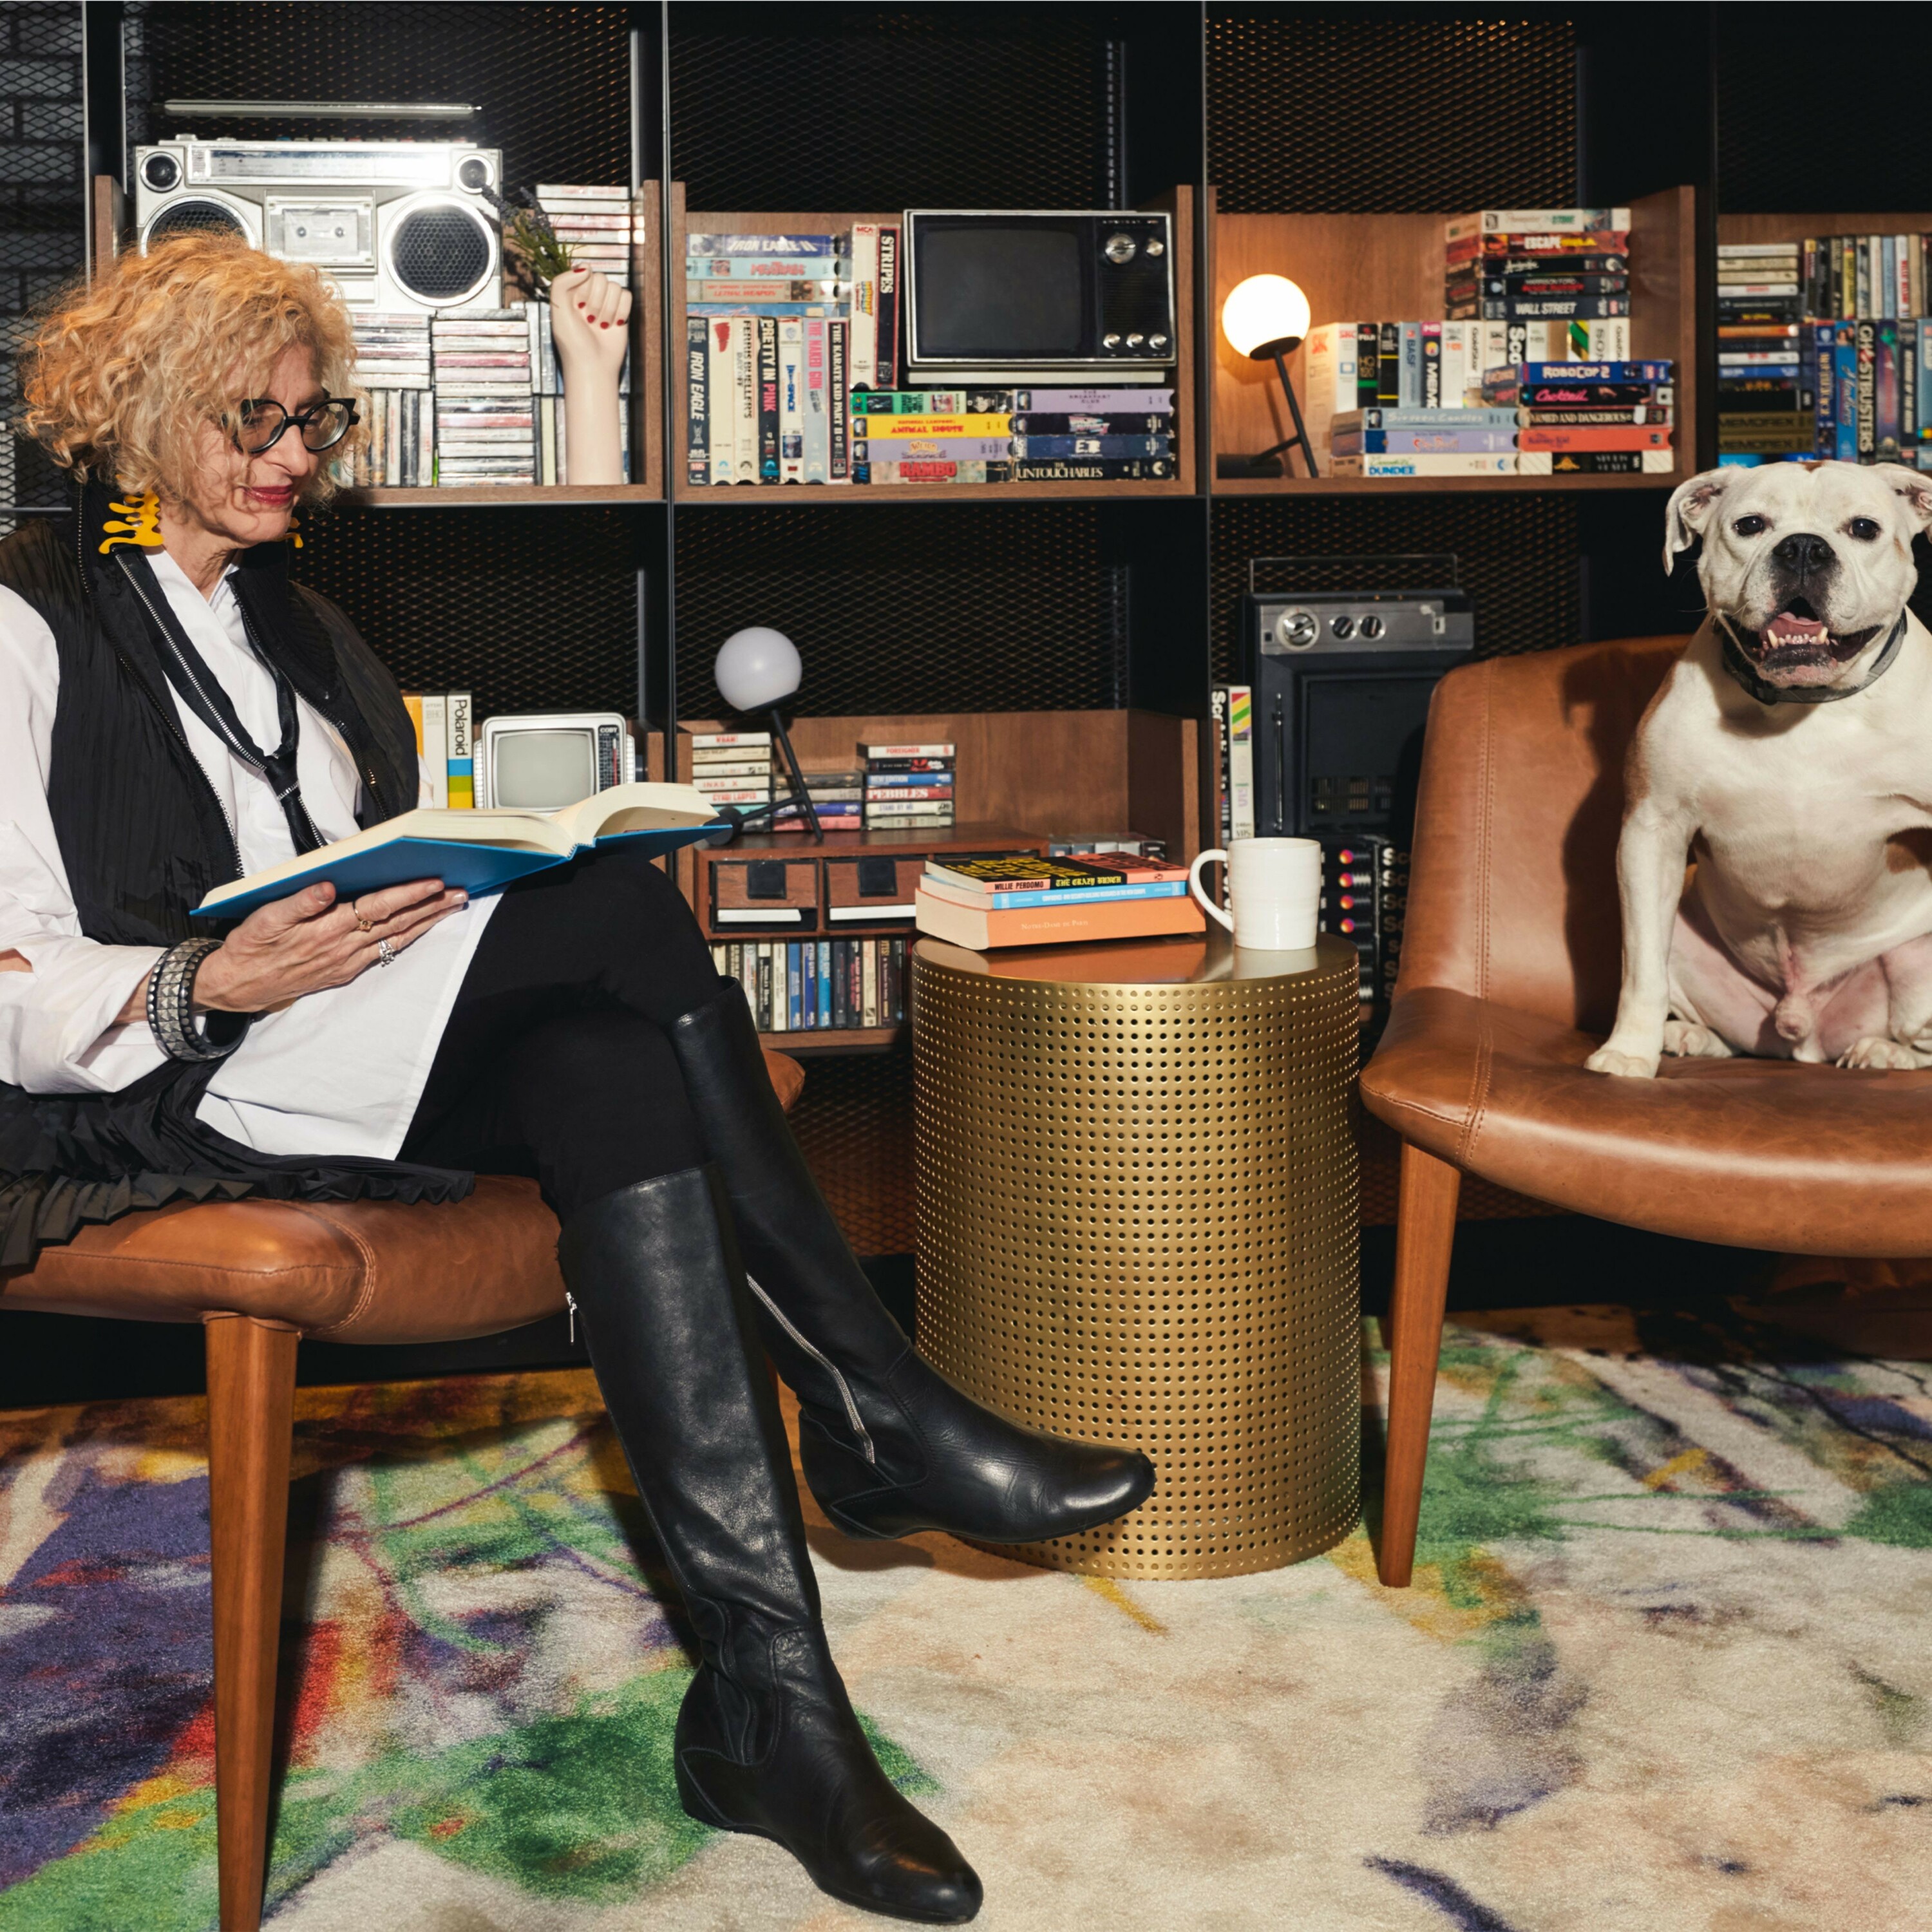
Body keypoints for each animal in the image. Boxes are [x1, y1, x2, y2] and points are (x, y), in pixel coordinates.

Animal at [1584, 460, 1932, 1082]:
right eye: (1750, 525)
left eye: (1863, 528)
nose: (1803, 548)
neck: (1804, 707)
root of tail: (1804, 1034)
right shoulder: (1652, 833)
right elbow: (1641, 973)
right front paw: (1629, 1053)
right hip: (1683, 930)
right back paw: (1687, 1037)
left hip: (1918, 958)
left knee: (1917, 1043)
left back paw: (1882, 1052)